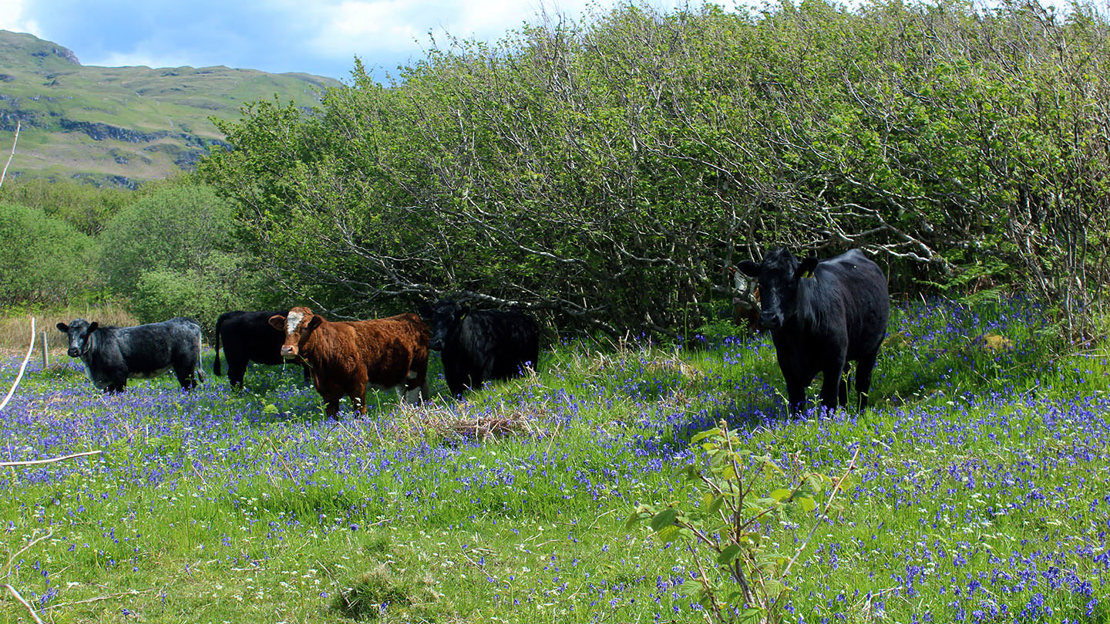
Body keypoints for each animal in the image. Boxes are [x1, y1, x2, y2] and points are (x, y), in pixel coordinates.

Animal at [56, 317, 203, 393]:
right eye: (68, 334)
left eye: (85, 334)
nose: (73, 350)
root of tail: (189, 321)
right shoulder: (107, 382)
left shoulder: (119, 374)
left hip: (186, 366)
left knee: (190, 385)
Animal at [267, 307, 430, 418]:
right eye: (284, 328)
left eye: (305, 327)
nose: (287, 349)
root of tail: (412, 317)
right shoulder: (327, 393)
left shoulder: (358, 386)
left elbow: (360, 414)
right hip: (401, 379)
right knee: (405, 399)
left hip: (415, 374)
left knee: (413, 401)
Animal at [737, 248, 889, 414]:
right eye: (761, 283)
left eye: (790, 283)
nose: (769, 318)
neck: (797, 334)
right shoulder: (786, 362)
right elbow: (797, 400)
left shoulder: (834, 359)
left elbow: (828, 398)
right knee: (846, 379)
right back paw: (844, 410)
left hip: (873, 347)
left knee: (862, 381)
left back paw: (860, 411)